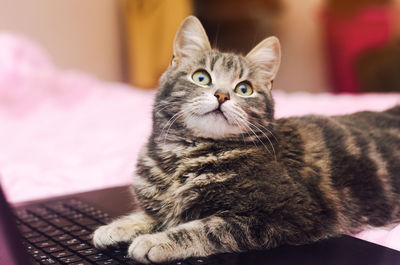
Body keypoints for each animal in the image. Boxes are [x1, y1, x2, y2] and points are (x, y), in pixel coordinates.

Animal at [92, 16, 400, 262]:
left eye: (244, 89)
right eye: (201, 77)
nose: (222, 95)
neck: (184, 154)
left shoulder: (287, 213)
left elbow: (208, 227)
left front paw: (156, 241)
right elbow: (152, 214)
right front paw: (117, 226)